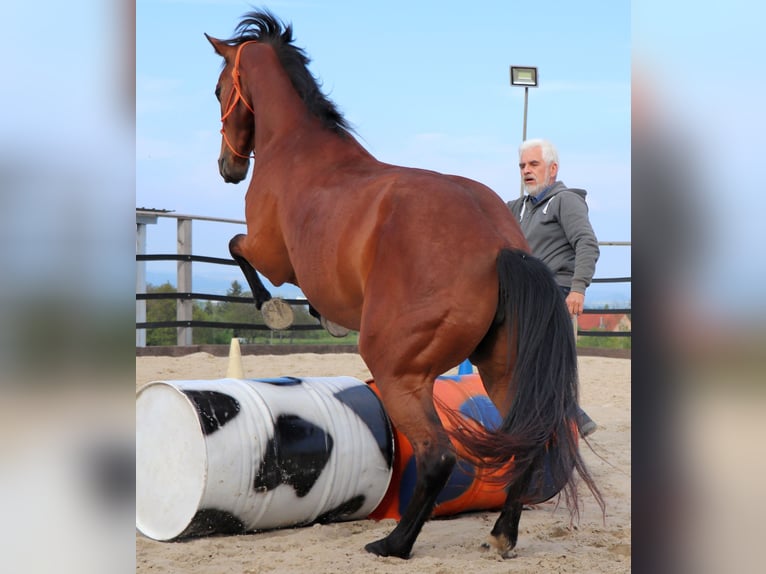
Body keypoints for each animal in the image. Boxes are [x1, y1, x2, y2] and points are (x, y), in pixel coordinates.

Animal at [205, 10, 603, 559]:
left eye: (220, 87)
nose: (228, 168)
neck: (297, 148)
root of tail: (498, 245)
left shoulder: (272, 254)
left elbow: (237, 249)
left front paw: (276, 310)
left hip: (399, 372)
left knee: (439, 455)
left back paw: (394, 542)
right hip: (502, 370)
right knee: (527, 442)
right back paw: (501, 534)